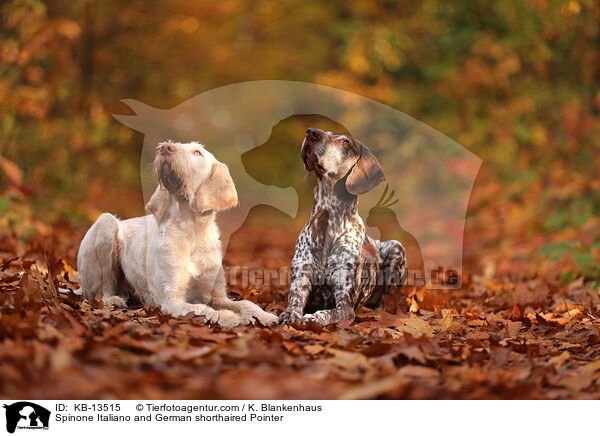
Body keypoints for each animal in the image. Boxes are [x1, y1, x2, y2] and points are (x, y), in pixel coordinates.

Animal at [75, 141, 278, 328]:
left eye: (197, 152)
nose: (165, 147)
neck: (193, 233)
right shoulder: (172, 300)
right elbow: (203, 309)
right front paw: (230, 318)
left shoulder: (216, 295)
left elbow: (246, 303)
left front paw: (266, 316)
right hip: (106, 223)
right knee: (103, 290)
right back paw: (112, 300)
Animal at [278, 127, 406, 326]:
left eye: (346, 143)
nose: (311, 132)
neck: (328, 221)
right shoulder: (301, 276)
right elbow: (294, 303)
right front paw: (290, 314)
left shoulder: (345, 304)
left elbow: (328, 313)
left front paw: (313, 317)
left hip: (396, 247)